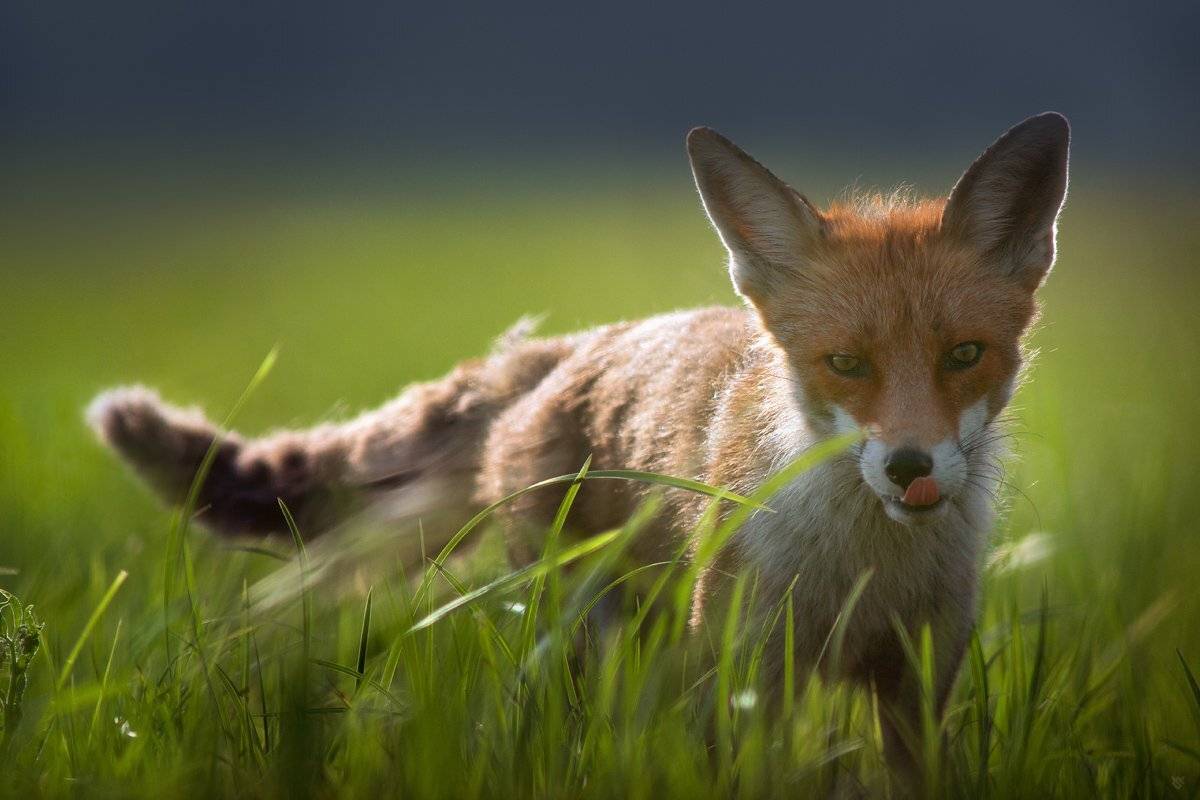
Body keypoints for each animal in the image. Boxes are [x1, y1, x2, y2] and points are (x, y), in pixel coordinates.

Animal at [88, 112, 1069, 773]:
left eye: (965, 356)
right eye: (846, 364)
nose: (909, 468)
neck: (861, 569)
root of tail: (566, 348)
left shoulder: (920, 684)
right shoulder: (748, 673)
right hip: (598, 635)